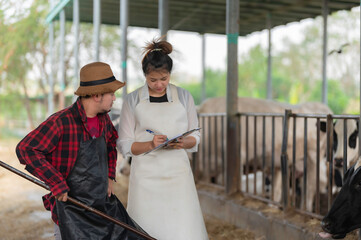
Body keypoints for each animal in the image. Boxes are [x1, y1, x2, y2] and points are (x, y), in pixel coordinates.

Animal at [197, 96, 332, 211]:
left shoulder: (238, 157)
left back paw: (304, 209)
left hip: (313, 159)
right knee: (279, 190)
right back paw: (273, 206)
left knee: (309, 189)